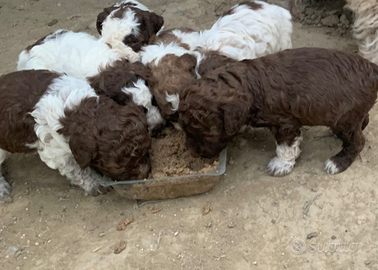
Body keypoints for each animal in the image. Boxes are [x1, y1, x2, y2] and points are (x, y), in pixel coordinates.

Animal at [0, 70, 151, 197]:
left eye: (145, 152)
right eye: (121, 169)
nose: (145, 173)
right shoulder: (55, 152)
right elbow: (78, 171)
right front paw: (96, 184)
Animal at [178, 47, 378, 176]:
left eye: (208, 135)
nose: (192, 152)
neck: (250, 85)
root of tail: (373, 68)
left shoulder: (285, 122)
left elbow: (285, 146)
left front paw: (281, 165)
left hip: (345, 118)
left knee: (358, 141)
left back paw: (337, 162)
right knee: (363, 120)